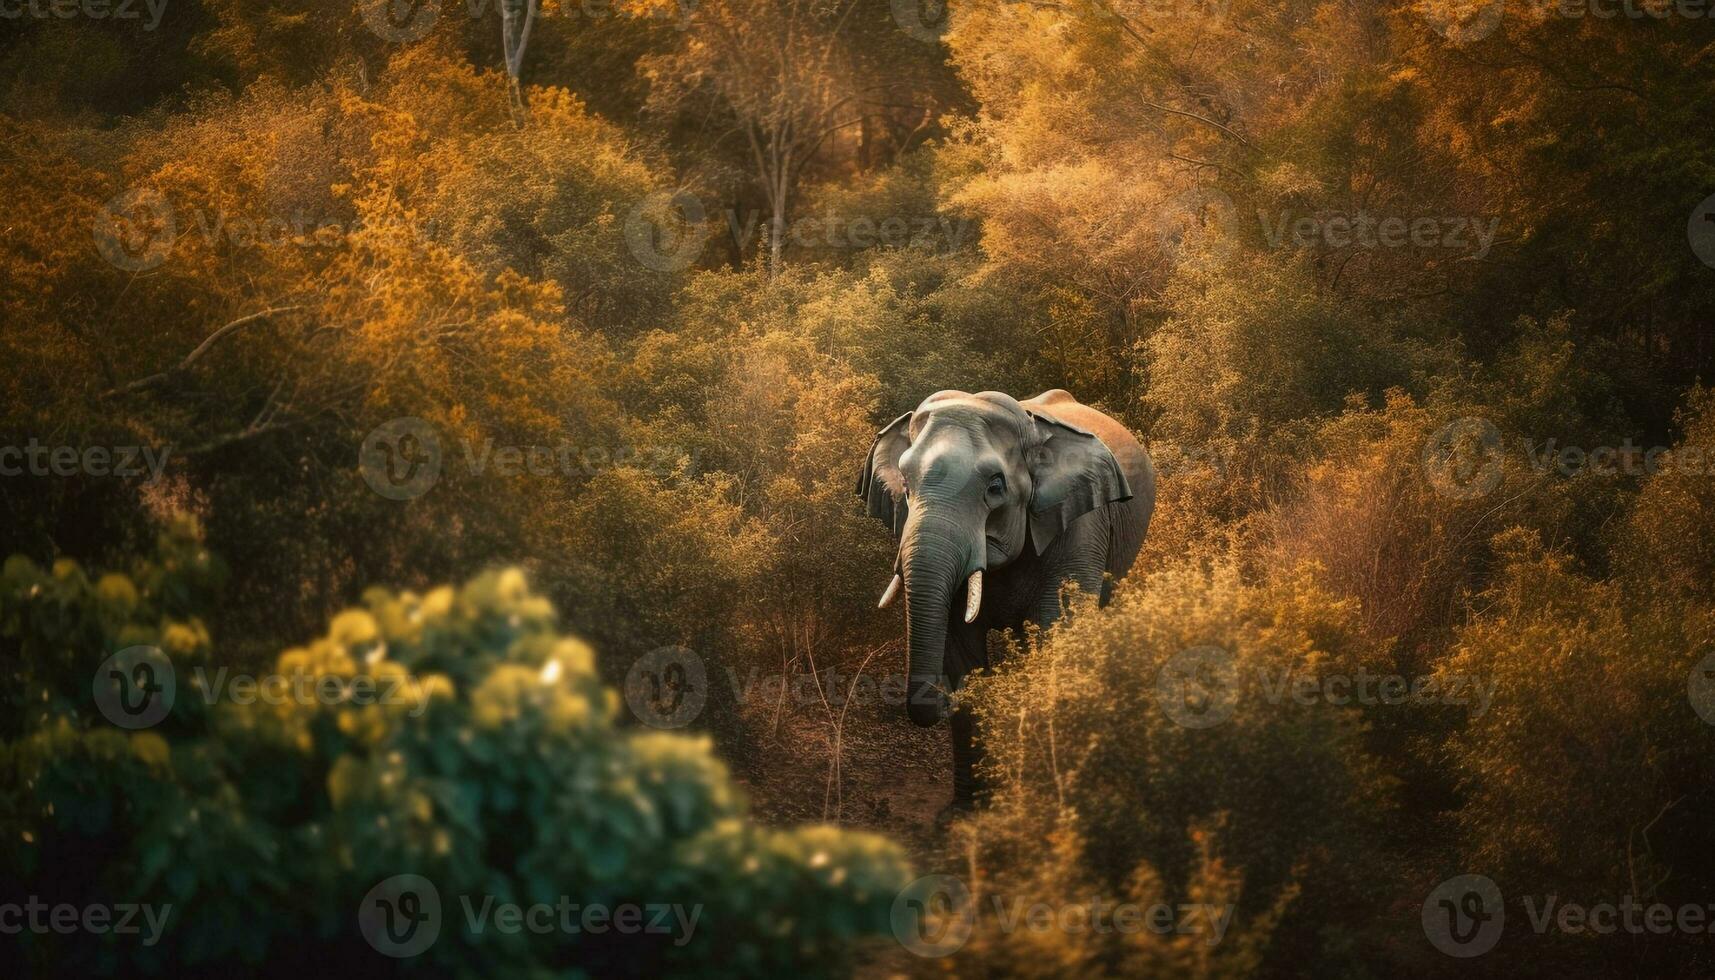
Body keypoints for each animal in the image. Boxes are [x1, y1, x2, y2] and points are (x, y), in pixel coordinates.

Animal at [854, 389, 1152, 820]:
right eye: (905, 484)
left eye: (995, 486)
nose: (938, 699)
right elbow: (959, 649)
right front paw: (963, 814)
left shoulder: (1080, 526)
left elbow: (1054, 637)